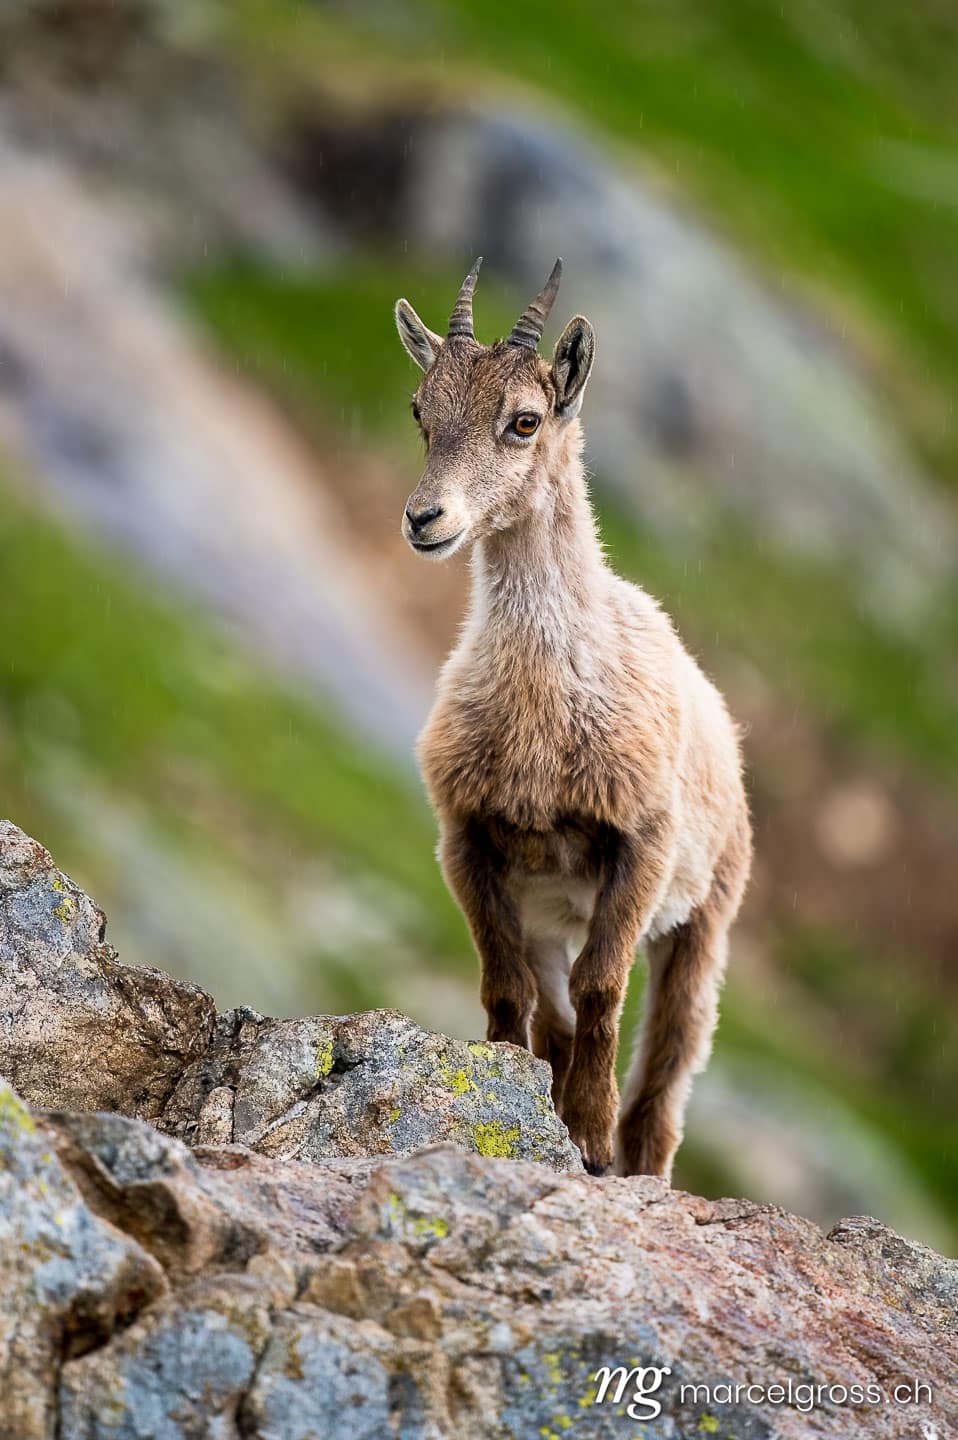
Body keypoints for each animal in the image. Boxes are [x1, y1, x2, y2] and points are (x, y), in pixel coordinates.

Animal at [394, 257, 751, 1178]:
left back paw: (639, 1162)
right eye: (421, 411)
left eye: (524, 421)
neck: (546, 711)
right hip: (551, 911)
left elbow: (603, 991)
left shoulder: (641, 845)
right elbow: (505, 989)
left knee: (670, 1061)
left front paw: (588, 1136)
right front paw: (516, 1101)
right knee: (553, 1016)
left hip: (707, 916)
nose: (424, 519)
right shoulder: (471, 844)